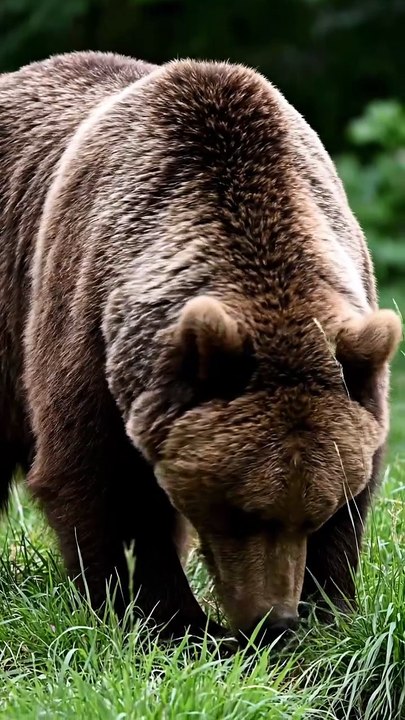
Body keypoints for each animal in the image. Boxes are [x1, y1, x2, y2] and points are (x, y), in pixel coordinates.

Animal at [0, 51, 401, 646]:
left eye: (314, 512)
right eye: (236, 510)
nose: (274, 622)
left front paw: (329, 615)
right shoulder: (84, 315)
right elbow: (93, 479)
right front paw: (158, 618)